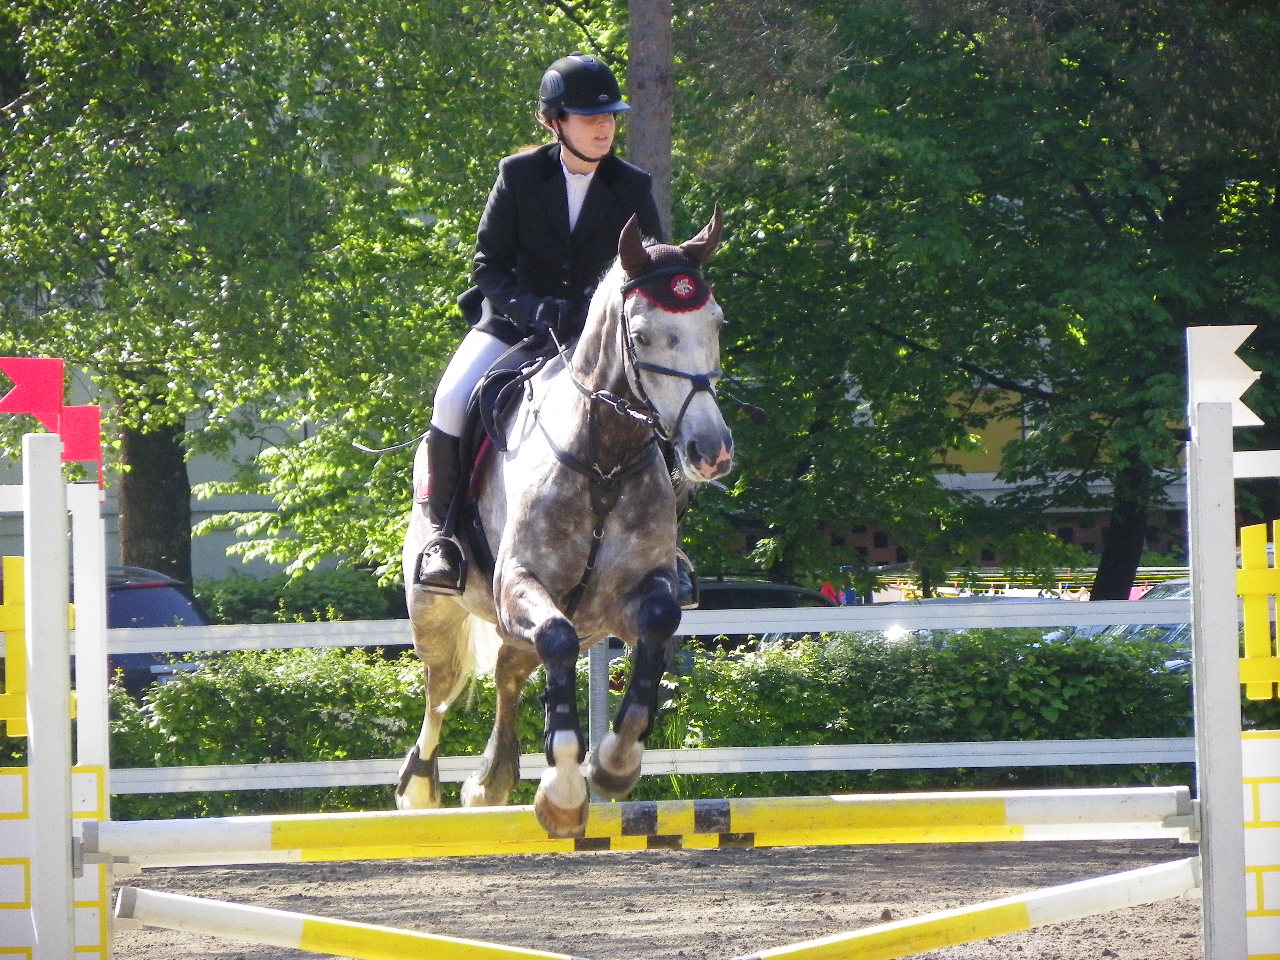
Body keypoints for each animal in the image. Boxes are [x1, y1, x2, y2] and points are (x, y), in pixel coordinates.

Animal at [396, 207, 734, 838]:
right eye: (641, 334)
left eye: (717, 324)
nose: (711, 451)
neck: (604, 456)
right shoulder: (519, 584)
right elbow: (555, 639)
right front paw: (565, 790)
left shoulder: (628, 599)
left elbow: (658, 624)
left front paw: (613, 765)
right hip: (435, 611)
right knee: (441, 690)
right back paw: (420, 788)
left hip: (532, 628)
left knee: (510, 672)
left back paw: (491, 781)